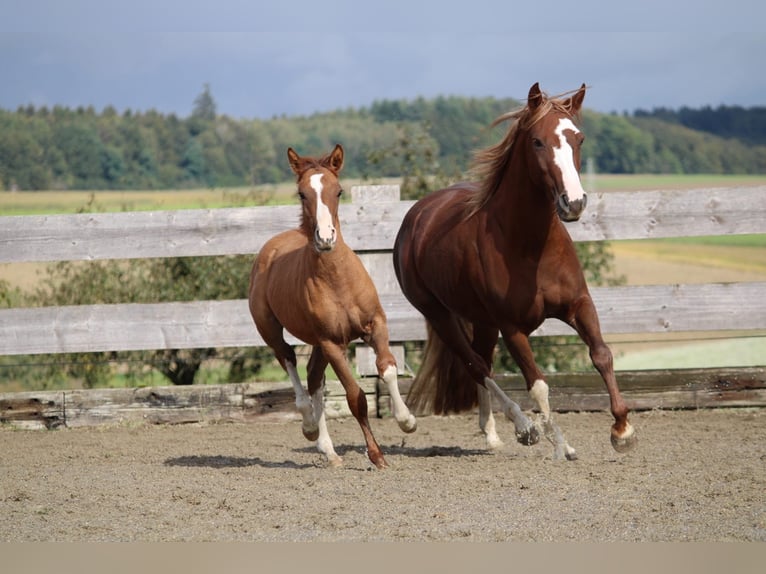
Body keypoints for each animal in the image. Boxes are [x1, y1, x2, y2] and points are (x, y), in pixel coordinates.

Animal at [249, 145, 416, 472]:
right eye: (302, 193)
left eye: (338, 191)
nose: (325, 238)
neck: (337, 279)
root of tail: (269, 249)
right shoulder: (332, 343)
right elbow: (355, 397)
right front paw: (377, 455)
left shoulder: (375, 325)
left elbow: (388, 370)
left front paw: (407, 421)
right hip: (272, 331)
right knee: (291, 365)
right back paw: (310, 428)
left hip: (316, 343)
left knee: (314, 378)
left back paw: (329, 451)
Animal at [392, 83, 640, 462]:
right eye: (537, 141)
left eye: (579, 138)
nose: (574, 203)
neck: (531, 247)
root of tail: (416, 216)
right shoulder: (513, 328)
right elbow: (538, 385)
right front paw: (559, 444)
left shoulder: (579, 305)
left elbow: (601, 355)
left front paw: (622, 431)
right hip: (440, 315)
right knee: (476, 366)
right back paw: (523, 427)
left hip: (482, 321)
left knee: (482, 362)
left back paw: (492, 434)